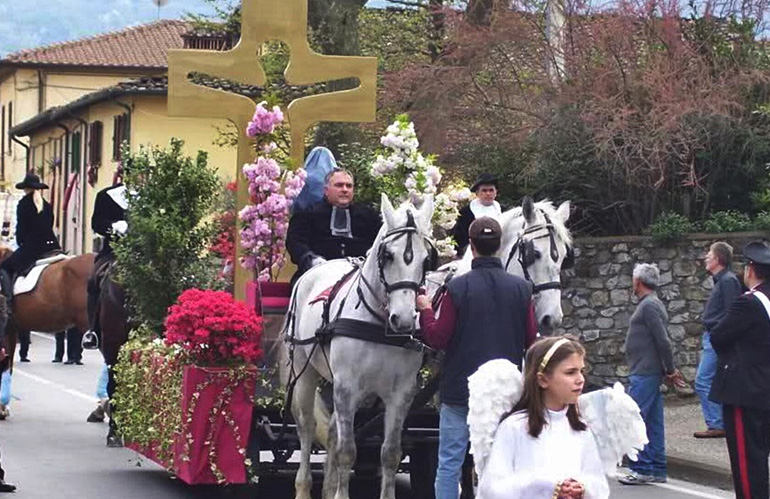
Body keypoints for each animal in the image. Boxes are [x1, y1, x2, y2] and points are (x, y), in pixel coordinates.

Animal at [282, 194, 436, 499]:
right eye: (387, 255)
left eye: (426, 260)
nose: (403, 319)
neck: (378, 322)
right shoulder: (347, 387)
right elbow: (347, 451)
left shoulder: (401, 394)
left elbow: (390, 453)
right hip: (304, 372)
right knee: (306, 427)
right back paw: (304, 486)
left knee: (331, 429)